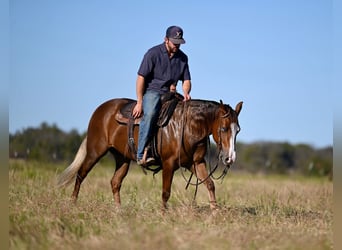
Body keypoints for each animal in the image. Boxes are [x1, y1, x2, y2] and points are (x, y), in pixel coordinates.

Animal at [56, 96, 243, 210]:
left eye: (238, 130)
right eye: (224, 128)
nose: (230, 158)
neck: (187, 127)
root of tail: (101, 110)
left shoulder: (195, 163)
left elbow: (209, 184)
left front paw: (215, 212)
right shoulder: (169, 164)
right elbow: (166, 192)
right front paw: (163, 214)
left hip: (122, 159)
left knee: (115, 182)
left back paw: (118, 211)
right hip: (95, 152)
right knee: (81, 174)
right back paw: (72, 203)